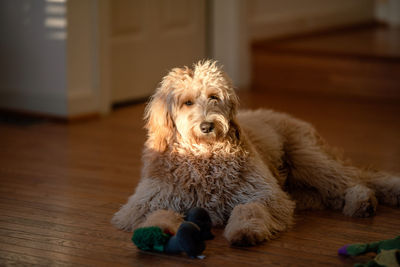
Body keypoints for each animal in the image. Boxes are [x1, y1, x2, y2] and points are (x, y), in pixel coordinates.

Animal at [111, 59, 400, 246]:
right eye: (187, 102)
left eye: (214, 97)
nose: (207, 126)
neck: (205, 157)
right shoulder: (143, 203)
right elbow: (155, 213)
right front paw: (157, 229)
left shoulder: (266, 194)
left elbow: (249, 208)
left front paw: (245, 231)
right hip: (303, 186)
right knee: (332, 191)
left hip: (308, 157)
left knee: (353, 179)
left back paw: (362, 201)